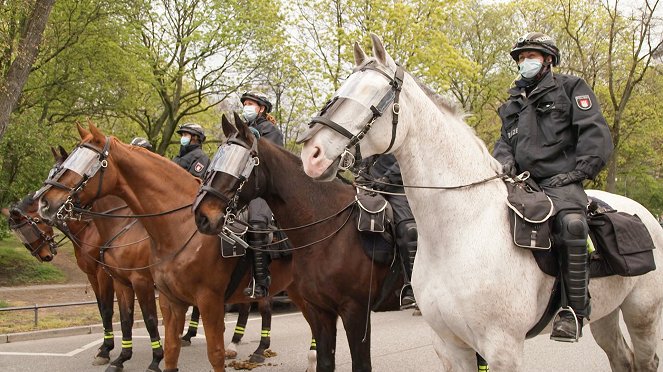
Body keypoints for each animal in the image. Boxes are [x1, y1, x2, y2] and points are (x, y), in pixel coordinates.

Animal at [37, 123, 306, 372]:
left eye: (84, 163)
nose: (43, 203)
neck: (179, 226)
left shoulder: (180, 292)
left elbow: (154, 324)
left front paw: (145, 359)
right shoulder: (146, 290)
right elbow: (138, 327)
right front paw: (121, 357)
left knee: (266, 308)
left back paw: (259, 350)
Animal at [189, 114, 402, 372]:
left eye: (238, 163)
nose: (202, 216)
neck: (325, 226)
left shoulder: (356, 312)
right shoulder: (321, 310)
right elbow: (325, 362)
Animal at [300, 33, 663, 370]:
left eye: (375, 95)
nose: (311, 154)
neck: (460, 230)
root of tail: (645, 215)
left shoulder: (502, 349)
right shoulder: (450, 346)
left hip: (641, 315)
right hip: (605, 314)